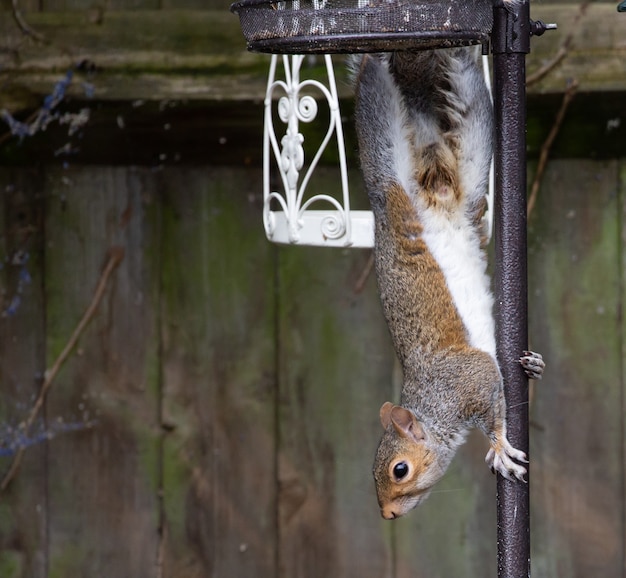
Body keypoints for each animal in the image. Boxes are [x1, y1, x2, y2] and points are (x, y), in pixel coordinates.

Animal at [352, 46, 540, 516]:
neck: (433, 407)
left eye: (400, 470)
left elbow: (495, 409)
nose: (387, 514)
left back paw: (377, 56)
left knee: (380, 102)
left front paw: (499, 448)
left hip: (392, 160)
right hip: (467, 161)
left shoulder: (470, 380)